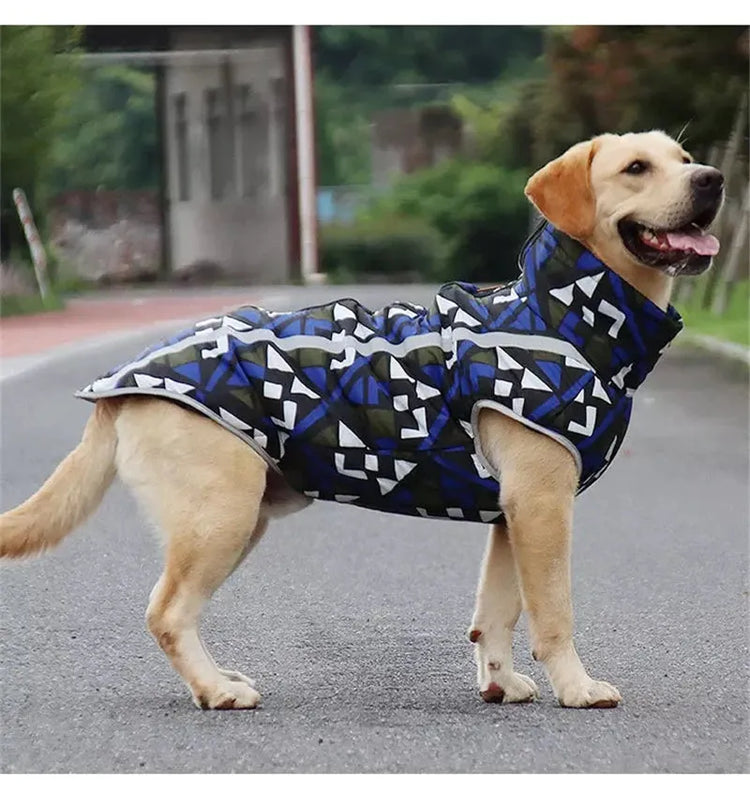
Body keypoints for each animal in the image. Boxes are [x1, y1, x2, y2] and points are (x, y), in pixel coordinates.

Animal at [1, 133, 728, 712]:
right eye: (636, 168)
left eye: (684, 158)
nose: (713, 179)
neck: (565, 313)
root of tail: (119, 385)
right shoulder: (544, 505)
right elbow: (553, 613)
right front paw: (576, 688)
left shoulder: (511, 514)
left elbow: (495, 612)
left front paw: (500, 683)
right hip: (221, 514)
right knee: (167, 611)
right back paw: (216, 691)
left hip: (236, 517)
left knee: (176, 609)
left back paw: (218, 679)